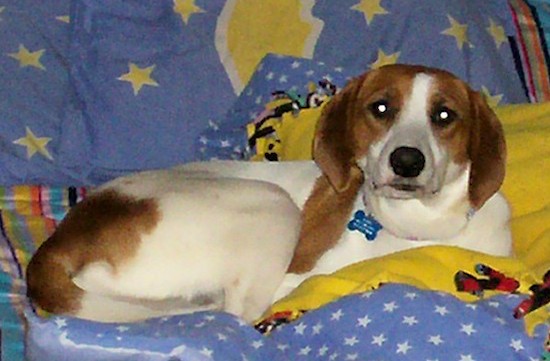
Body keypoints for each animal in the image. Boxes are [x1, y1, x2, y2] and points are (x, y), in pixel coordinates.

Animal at [25, 63, 512, 322]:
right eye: (380, 108)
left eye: (445, 115)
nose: (407, 161)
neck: (421, 227)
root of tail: (58, 244)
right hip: (270, 204)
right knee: (238, 313)